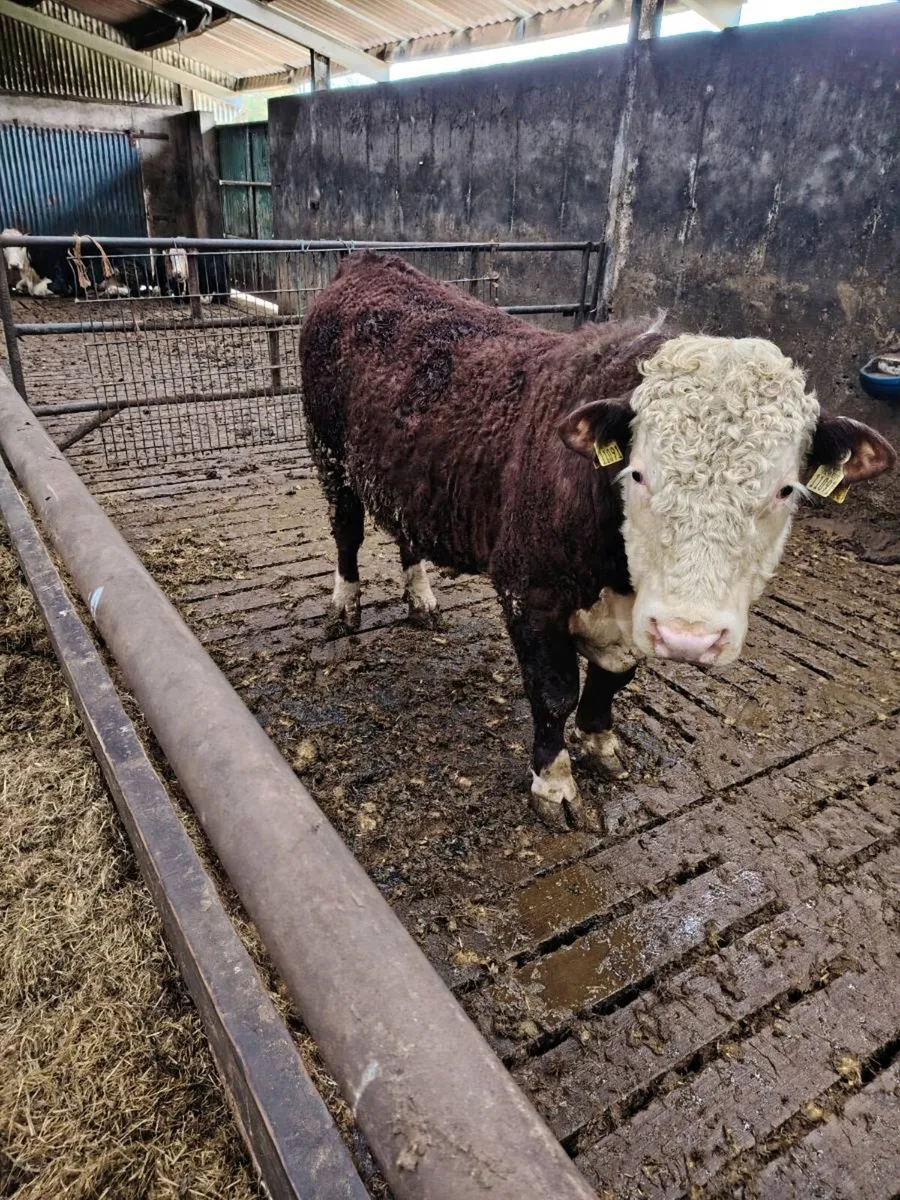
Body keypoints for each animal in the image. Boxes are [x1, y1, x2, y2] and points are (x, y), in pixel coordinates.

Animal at [299, 253, 896, 831]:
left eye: (785, 489)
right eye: (638, 474)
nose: (689, 638)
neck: (618, 575)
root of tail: (370, 262)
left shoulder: (632, 618)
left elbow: (613, 677)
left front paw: (598, 740)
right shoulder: (528, 589)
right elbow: (553, 690)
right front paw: (553, 783)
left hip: (409, 480)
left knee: (406, 536)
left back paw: (421, 598)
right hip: (329, 453)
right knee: (347, 532)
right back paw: (345, 606)